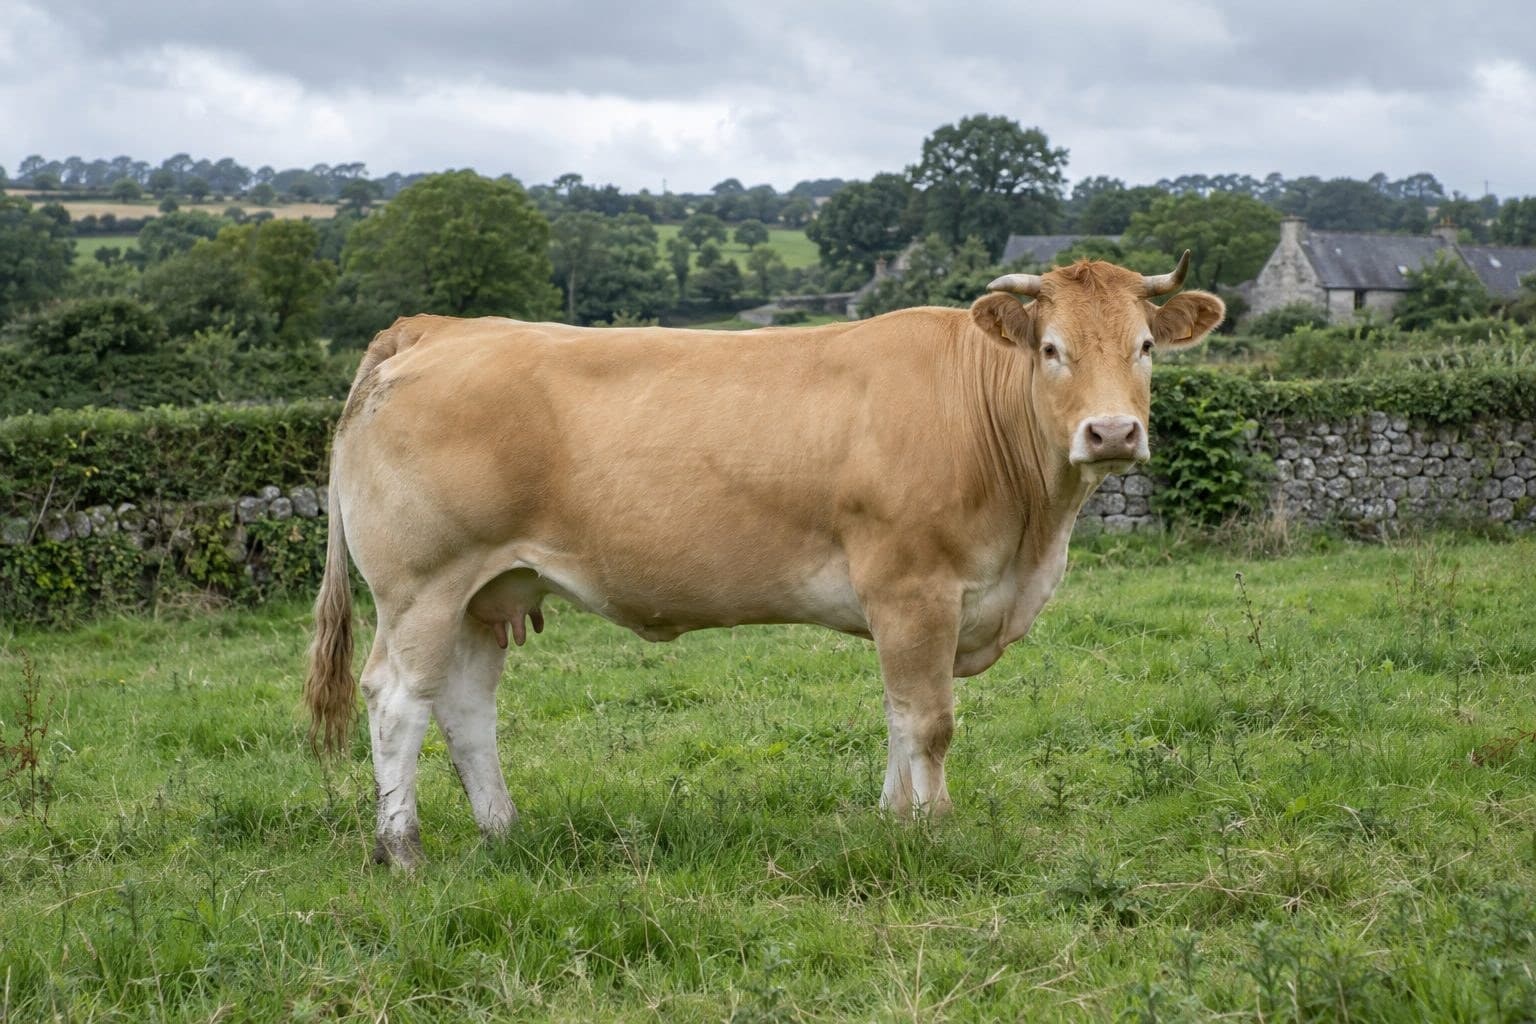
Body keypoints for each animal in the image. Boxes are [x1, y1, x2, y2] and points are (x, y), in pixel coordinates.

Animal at [306, 253, 1224, 867]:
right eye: (1052, 349)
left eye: (1145, 346)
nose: (1112, 432)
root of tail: (434, 329)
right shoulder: (915, 589)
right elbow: (929, 720)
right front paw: (932, 831)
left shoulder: (908, 605)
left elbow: (896, 715)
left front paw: (893, 819)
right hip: (422, 585)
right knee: (397, 701)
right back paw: (402, 849)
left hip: (487, 589)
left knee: (464, 709)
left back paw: (503, 830)